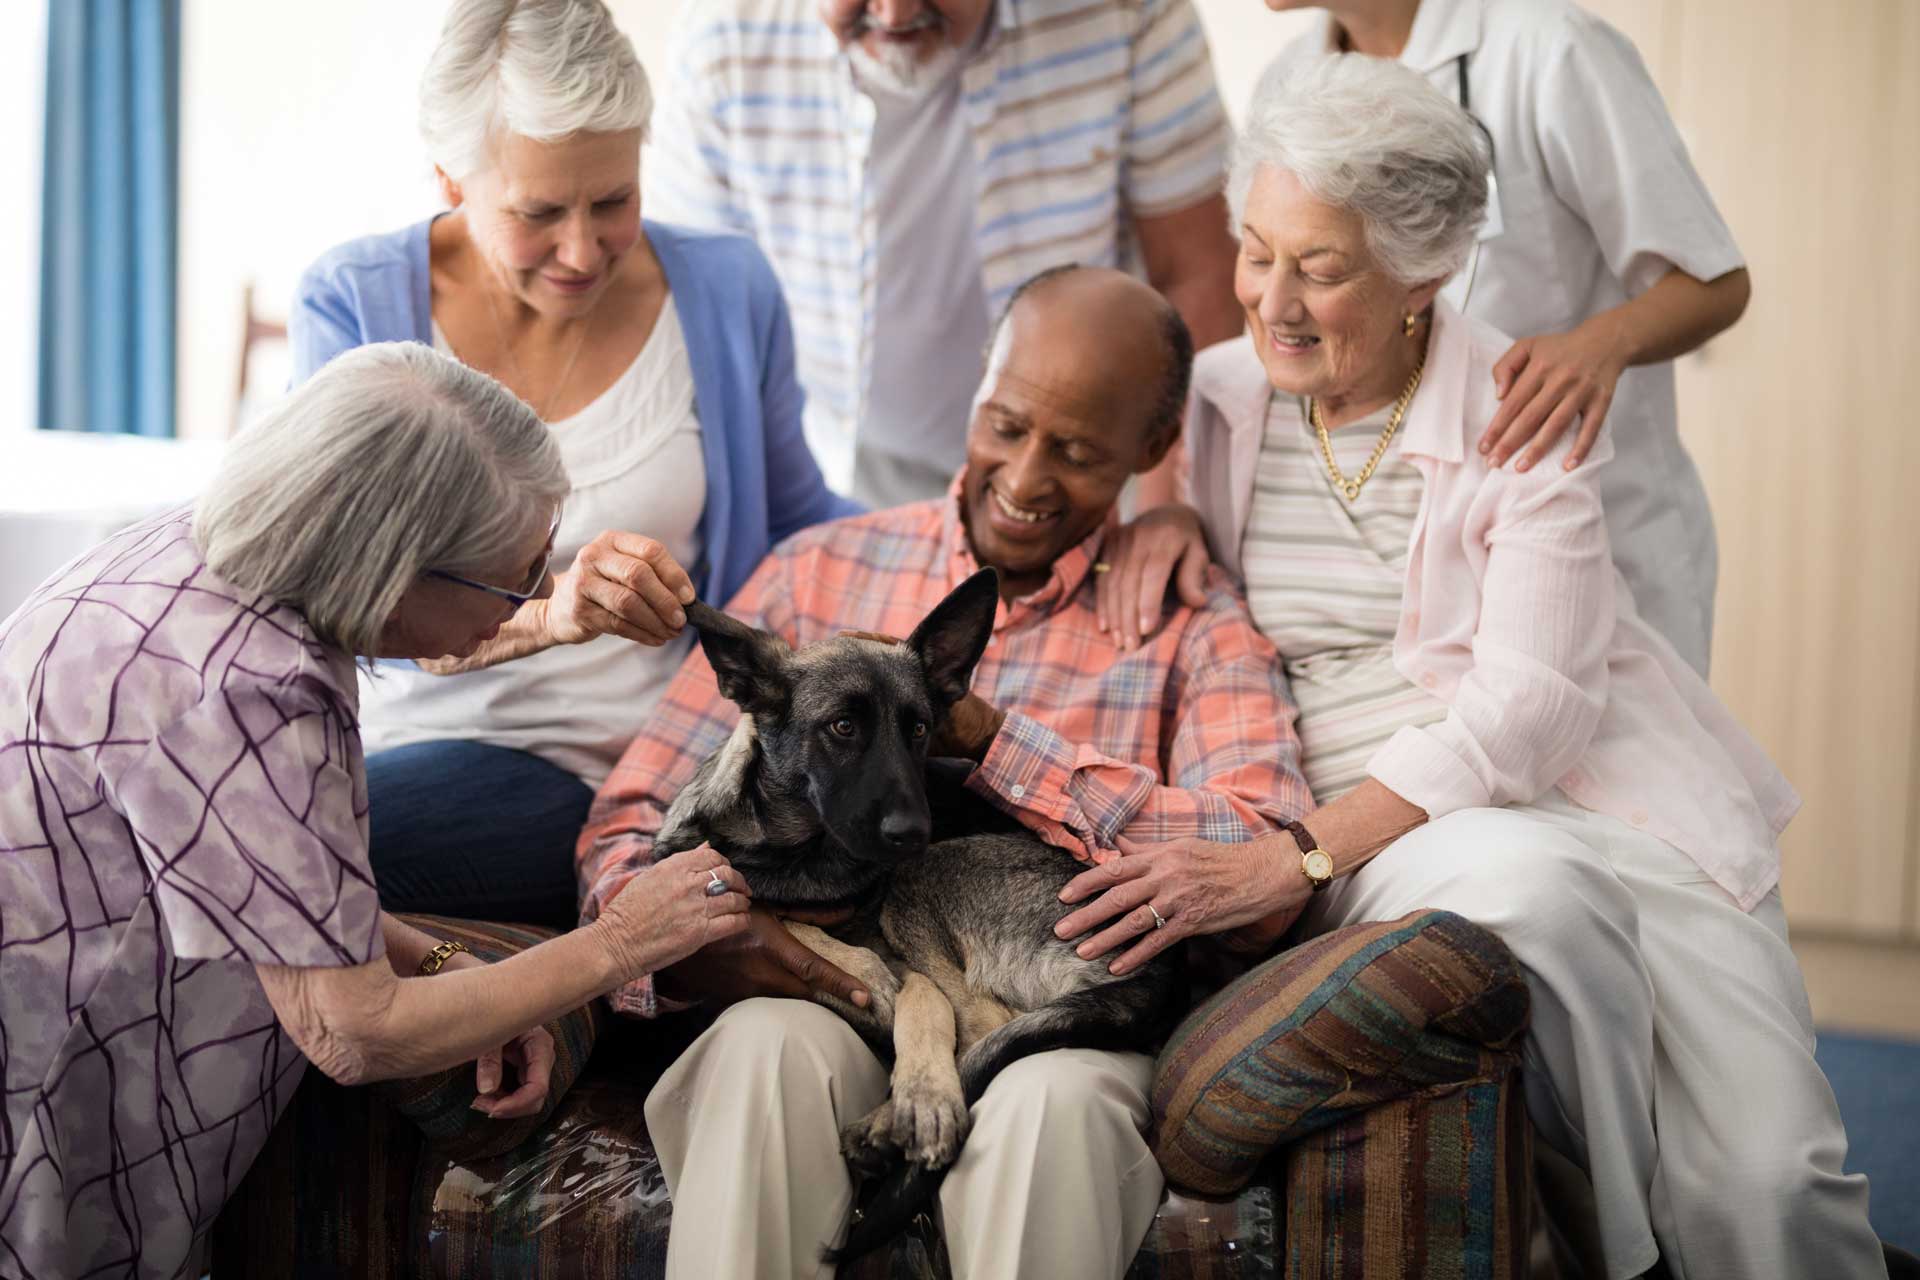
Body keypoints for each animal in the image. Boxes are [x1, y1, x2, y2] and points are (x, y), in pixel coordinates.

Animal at [652, 568, 1175, 1258]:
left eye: (921, 729)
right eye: (842, 727)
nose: (912, 831)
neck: (793, 849)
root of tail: (1159, 975)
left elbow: (898, 987)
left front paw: (915, 1079)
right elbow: (756, 909)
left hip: (924, 881)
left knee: (982, 1025)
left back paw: (895, 1114)